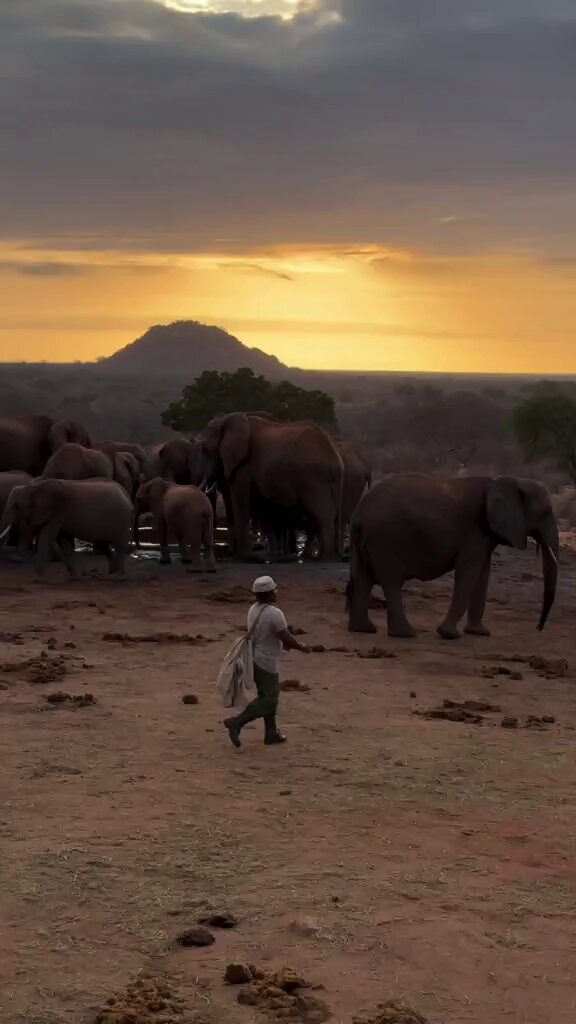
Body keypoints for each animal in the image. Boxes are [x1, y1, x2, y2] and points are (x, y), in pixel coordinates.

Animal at [0, 478, 133, 580]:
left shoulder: (57, 511)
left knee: (119, 547)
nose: (14, 559)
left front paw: (38, 579)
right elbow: (64, 541)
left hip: (121, 520)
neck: (34, 487)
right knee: (103, 545)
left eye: (16, 506)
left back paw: (118, 577)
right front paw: (75, 577)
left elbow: (47, 536)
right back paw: (111, 573)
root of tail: (126, 494)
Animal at [199, 413, 343, 560]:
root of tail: (335, 460)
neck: (228, 420)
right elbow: (263, 506)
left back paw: (324, 558)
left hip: (314, 479)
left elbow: (241, 504)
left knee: (321, 514)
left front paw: (242, 557)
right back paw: (314, 556)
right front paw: (264, 556)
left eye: (206, 449)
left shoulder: (244, 465)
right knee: (321, 515)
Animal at [347, 473, 559, 640]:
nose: (538, 628)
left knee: (363, 578)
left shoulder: (484, 535)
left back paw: (363, 630)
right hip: (386, 540)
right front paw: (449, 634)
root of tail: (359, 513)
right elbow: (468, 573)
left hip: (364, 541)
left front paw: (479, 633)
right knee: (391, 582)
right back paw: (405, 634)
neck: (507, 481)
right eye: (544, 512)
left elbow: (482, 574)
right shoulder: (475, 532)